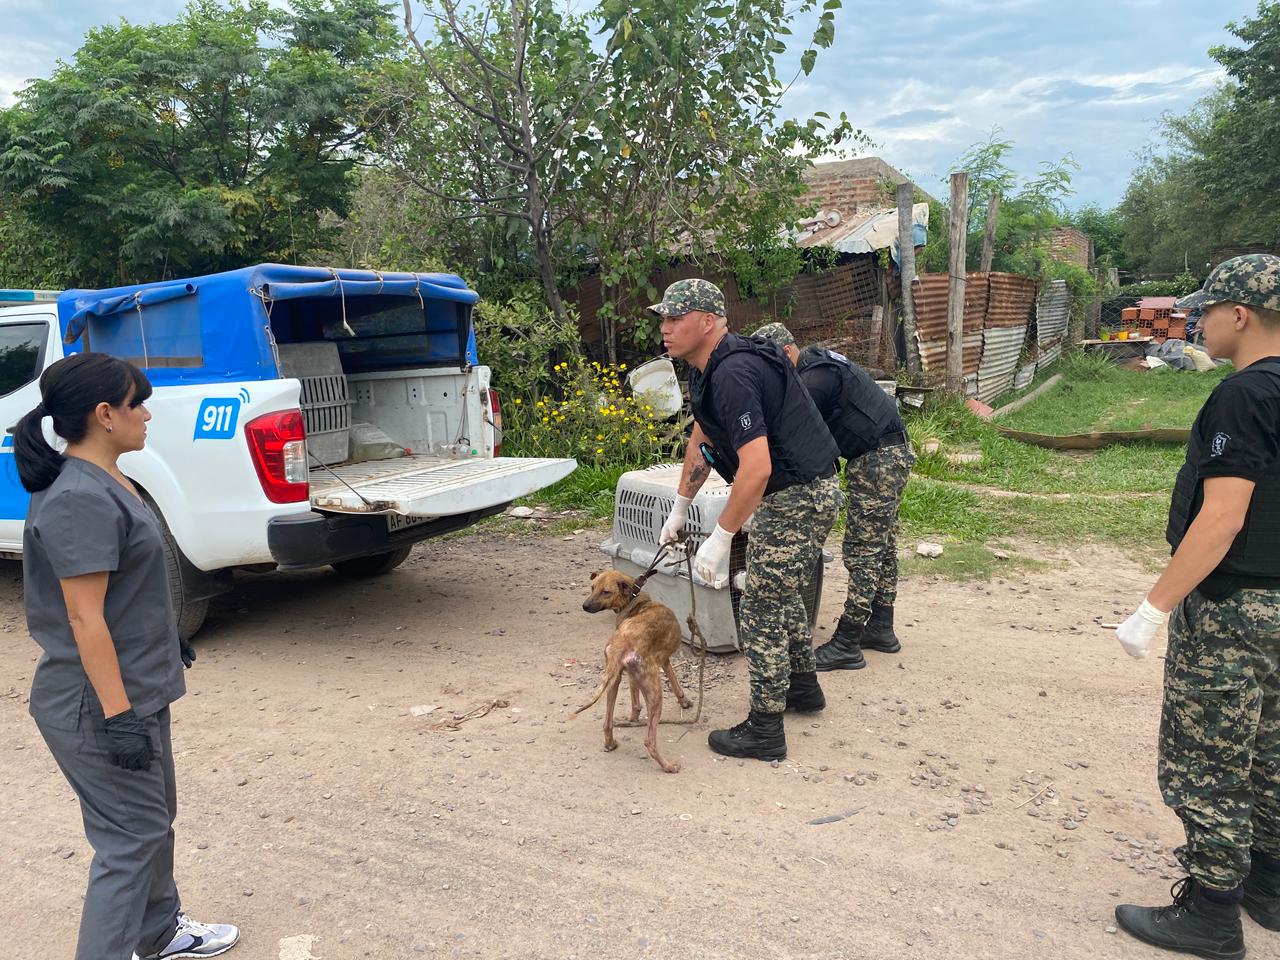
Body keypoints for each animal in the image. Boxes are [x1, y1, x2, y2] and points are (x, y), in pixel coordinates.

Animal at [573, 569, 693, 773]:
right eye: (592, 587)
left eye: (605, 591)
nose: (585, 606)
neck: (634, 601)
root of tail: (621, 644)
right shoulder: (662, 663)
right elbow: (670, 684)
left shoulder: (639, 670)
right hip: (654, 692)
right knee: (649, 741)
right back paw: (668, 766)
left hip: (613, 682)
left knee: (607, 723)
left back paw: (610, 744)